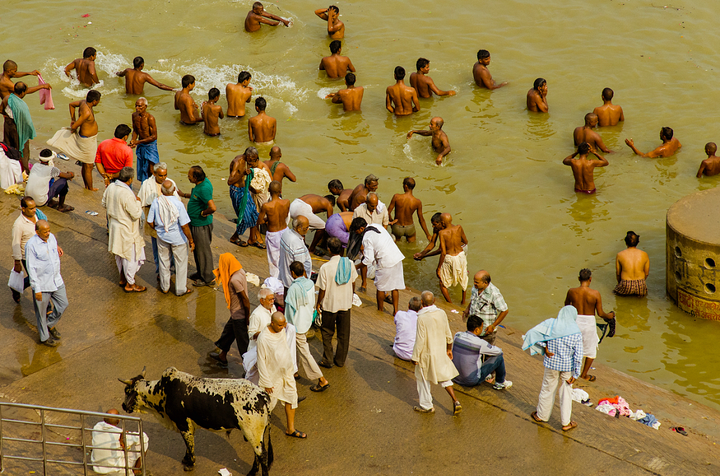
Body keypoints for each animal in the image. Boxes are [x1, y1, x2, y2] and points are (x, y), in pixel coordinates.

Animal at [118, 368, 276, 476]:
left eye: (127, 390)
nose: (123, 406)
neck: (163, 390)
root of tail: (262, 395)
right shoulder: (188, 426)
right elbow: (189, 446)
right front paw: (186, 459)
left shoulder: (183, 424)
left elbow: (189, 444)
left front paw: (190, 464)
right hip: (255, 435)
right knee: (258, 454)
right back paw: (252, 472)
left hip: (252, 433)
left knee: (262, 455)